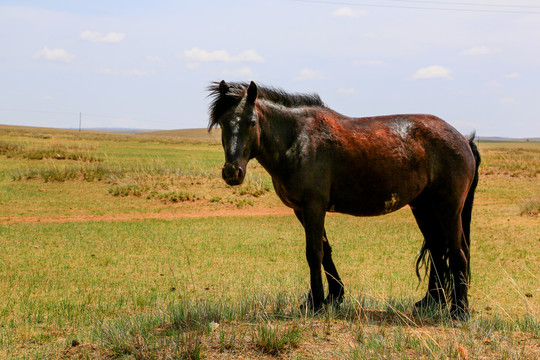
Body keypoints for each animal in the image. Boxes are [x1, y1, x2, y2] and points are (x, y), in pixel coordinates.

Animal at [208, 81, 480, 318]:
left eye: (252, 122)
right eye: (222, 123)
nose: (232, 172)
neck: (298, 139)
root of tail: (463, 139)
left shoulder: (314, 206)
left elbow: (314, 252)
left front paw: (318, 303)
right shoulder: (301, 210)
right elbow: (325, 251)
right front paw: (330, 297)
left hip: (448, 208)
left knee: (458, 251)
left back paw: (459, 311)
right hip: (423, 206)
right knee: (437, 249)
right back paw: (430, 302)